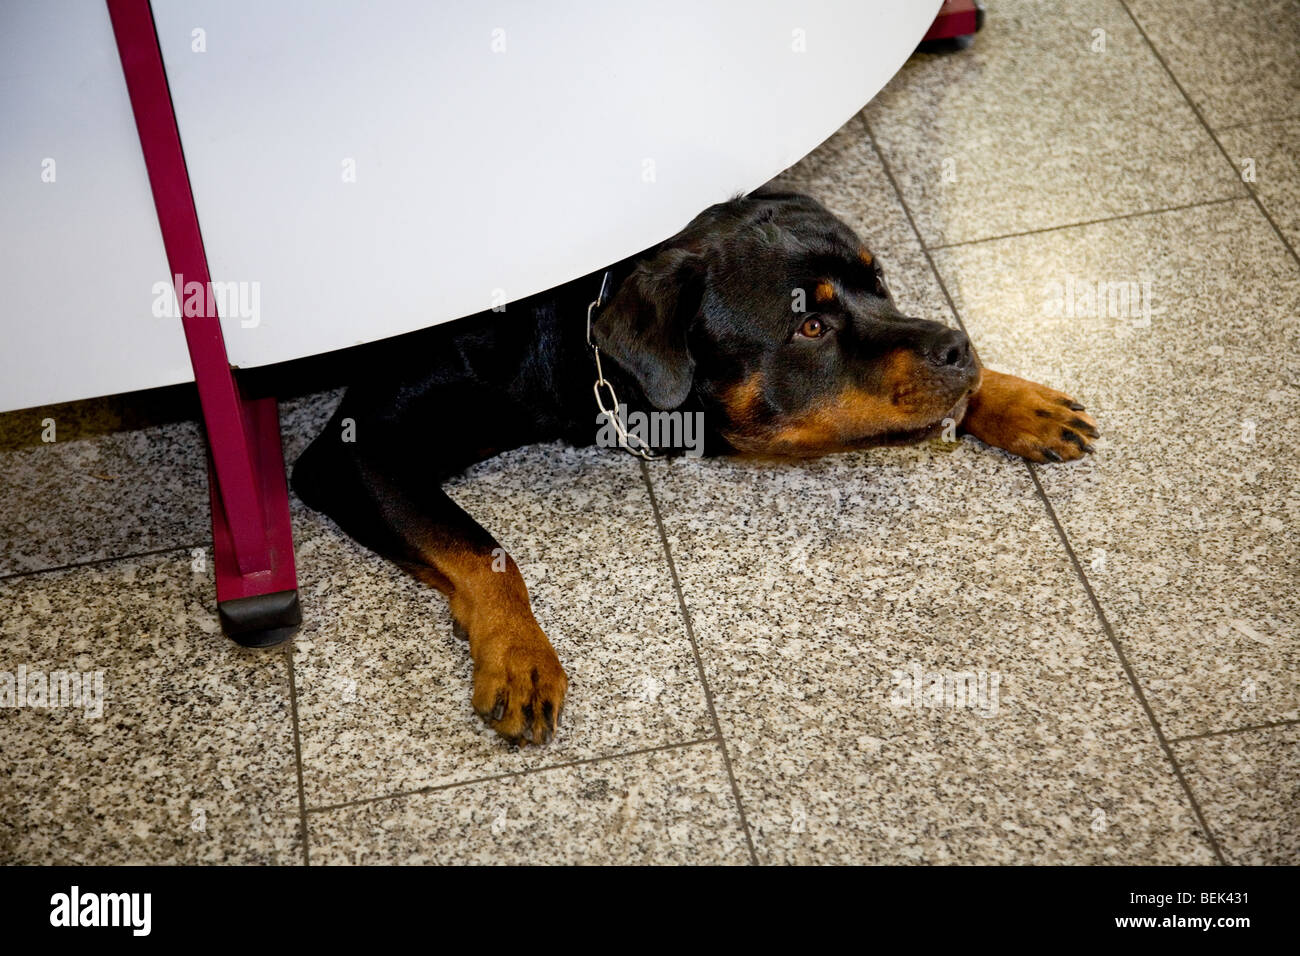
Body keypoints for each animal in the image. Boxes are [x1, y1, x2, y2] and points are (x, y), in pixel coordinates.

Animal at [295, 191, 1097, 749]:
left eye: (881, 283)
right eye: (811, 325)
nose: (959, 347)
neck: (571, 332)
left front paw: (1008, 394)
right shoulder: (352, 450)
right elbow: (481, 547)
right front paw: (519, 651)